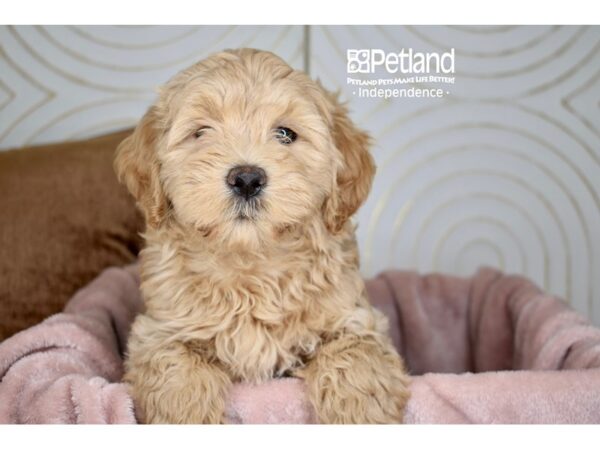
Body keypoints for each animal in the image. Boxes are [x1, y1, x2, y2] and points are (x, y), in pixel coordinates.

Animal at [115, 49, 410, 426]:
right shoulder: (160, 331)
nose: (246, 178)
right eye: (201, 132)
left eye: (285, 133)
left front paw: (360, 416)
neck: (250, 264)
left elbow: (355, 360)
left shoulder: (355, 320)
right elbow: (177, 376)